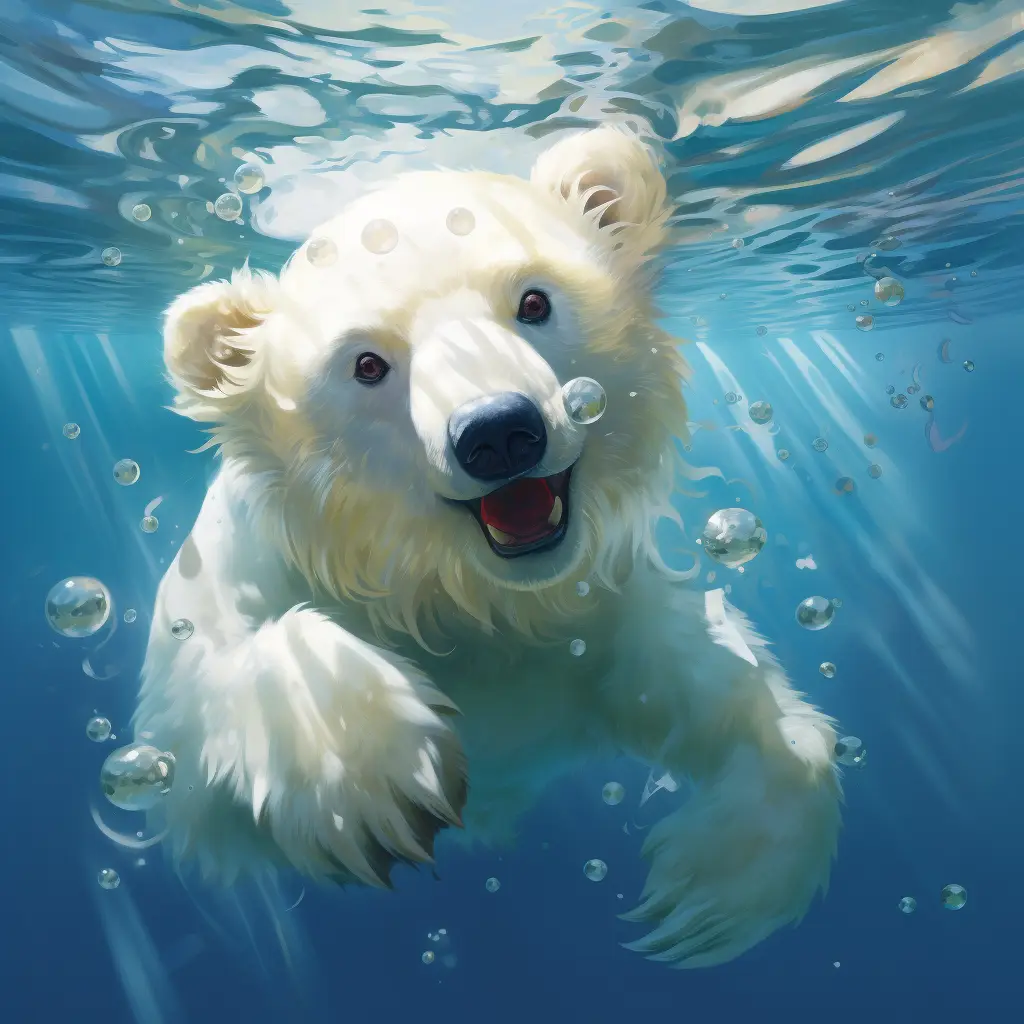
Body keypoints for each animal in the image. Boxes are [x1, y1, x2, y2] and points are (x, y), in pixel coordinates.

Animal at [133, 125, 841, 969]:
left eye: (533, 301)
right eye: (366, 363)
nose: (498, 433)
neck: (454, 592)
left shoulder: (590, 617)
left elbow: (703, 678)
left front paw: (711, 888)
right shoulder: (231, 590)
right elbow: (190, 733)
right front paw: (371, 769)